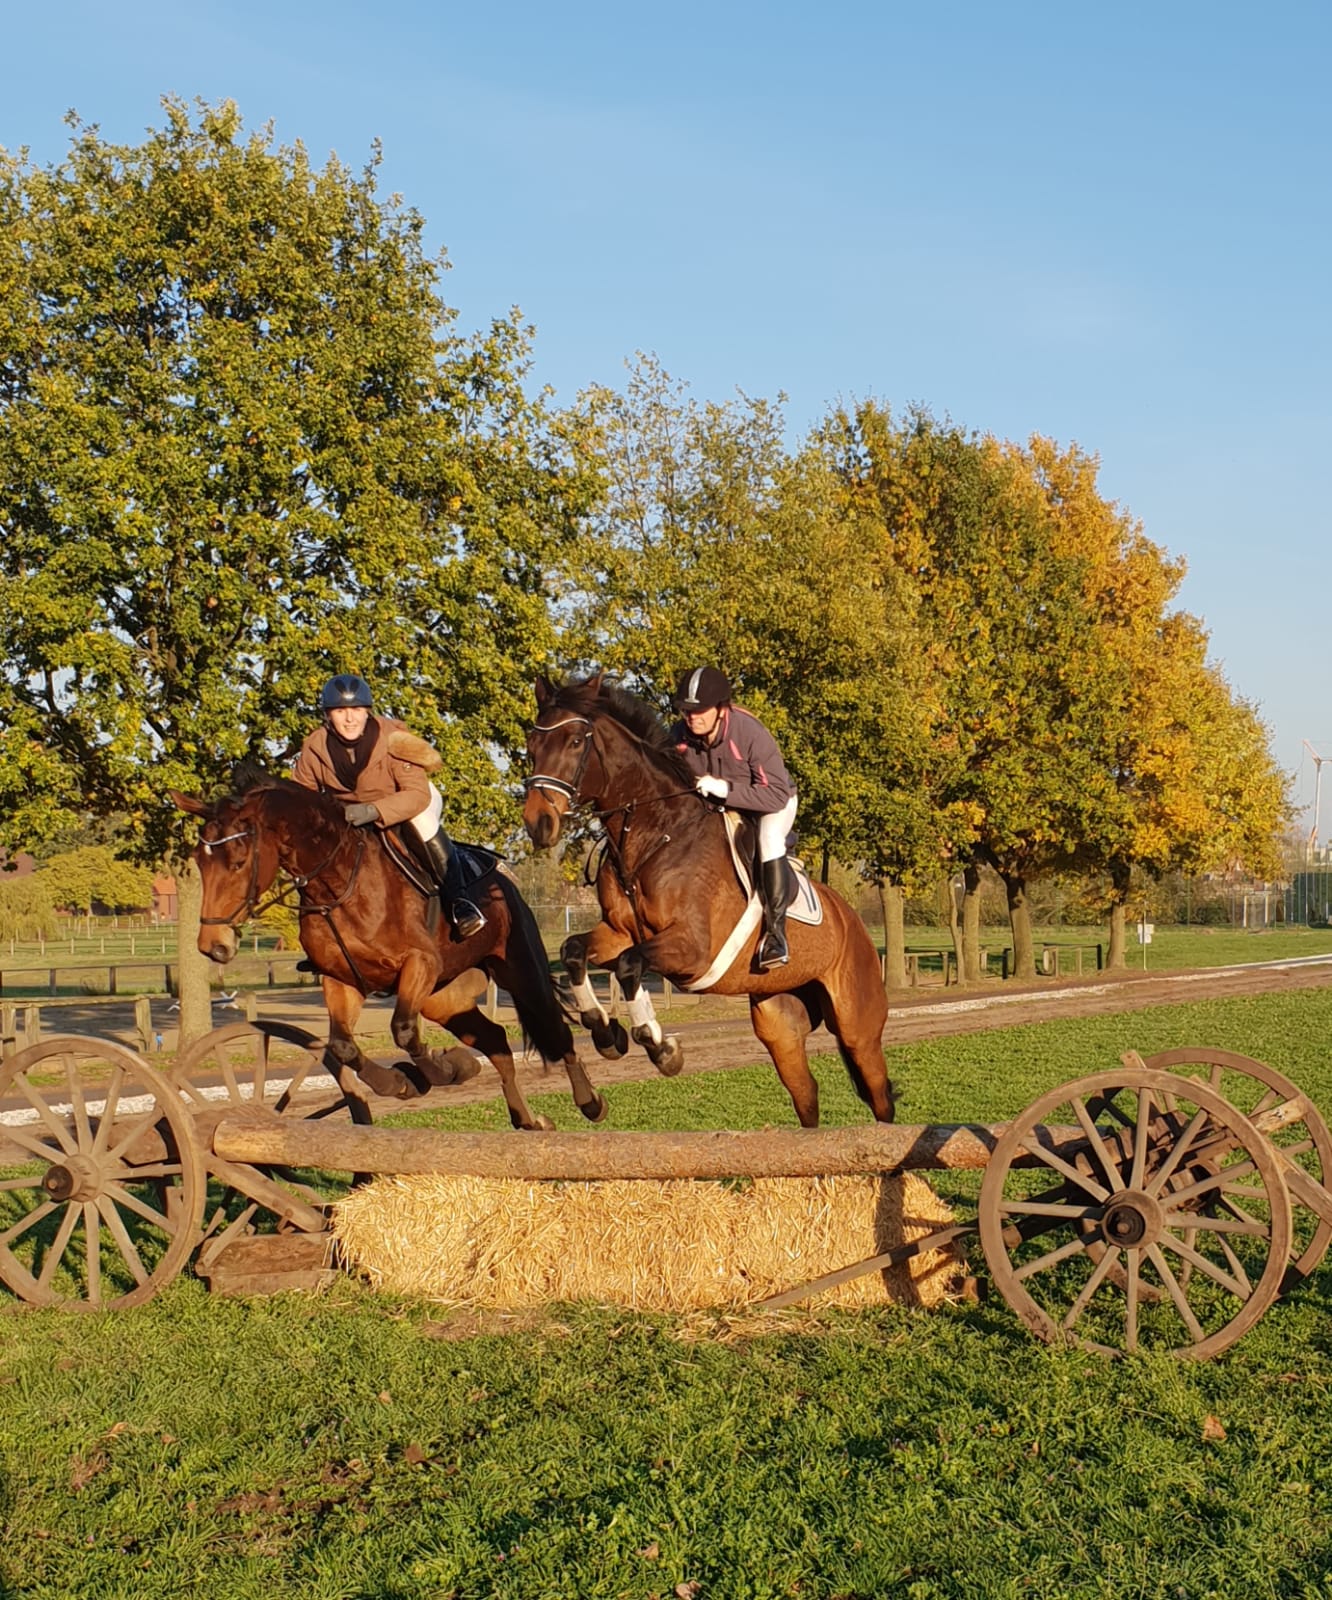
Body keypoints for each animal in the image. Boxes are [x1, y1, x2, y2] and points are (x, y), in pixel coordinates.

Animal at [170, 772, 606, 1130]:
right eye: (198, 864)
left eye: (239, 861)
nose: (213, 946)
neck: (338, 882)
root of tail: (504, 876)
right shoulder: (341, 979)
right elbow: (344, 1045)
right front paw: (405, 1080)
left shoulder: (420, 963)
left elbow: (403, 1029)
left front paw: (438, 1071)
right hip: (442, 997)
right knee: (496, 1039)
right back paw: (527, 1119)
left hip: (519, 970)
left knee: (555, 1029)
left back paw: (590, 1101)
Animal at [522, 675, 894, 1128]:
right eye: (532, 744)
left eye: (576, 741)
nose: (538, 823)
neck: (653, 834)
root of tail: (852, 921)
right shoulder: (619, 932)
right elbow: (575, 951)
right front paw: (604, 1030)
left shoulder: (692, 949)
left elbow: (629, 966)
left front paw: (659, 1046)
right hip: (779, 1023)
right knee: (807, 1096)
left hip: (858, 1027)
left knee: (880, 1096)